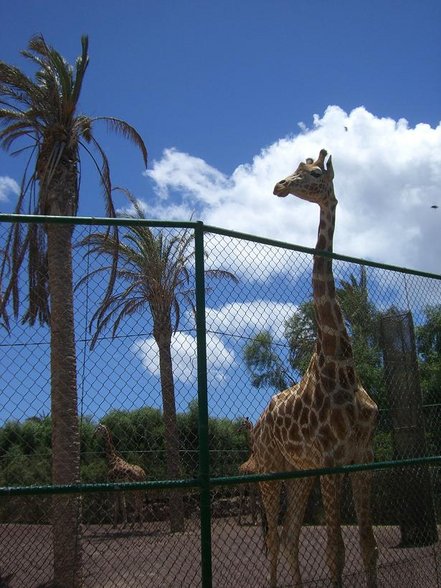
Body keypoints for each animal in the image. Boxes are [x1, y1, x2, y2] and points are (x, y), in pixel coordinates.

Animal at [253, 149, 380, 584]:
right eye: (297, 171)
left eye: (313, 174)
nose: (279, 185)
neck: (341, 364)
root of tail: (257, 423)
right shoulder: (329, 460)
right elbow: (335, 551)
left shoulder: (362, 457)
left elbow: (367, 546)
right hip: (269, 470)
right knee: (274, 538)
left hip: (298, 473)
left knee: (290, 535)